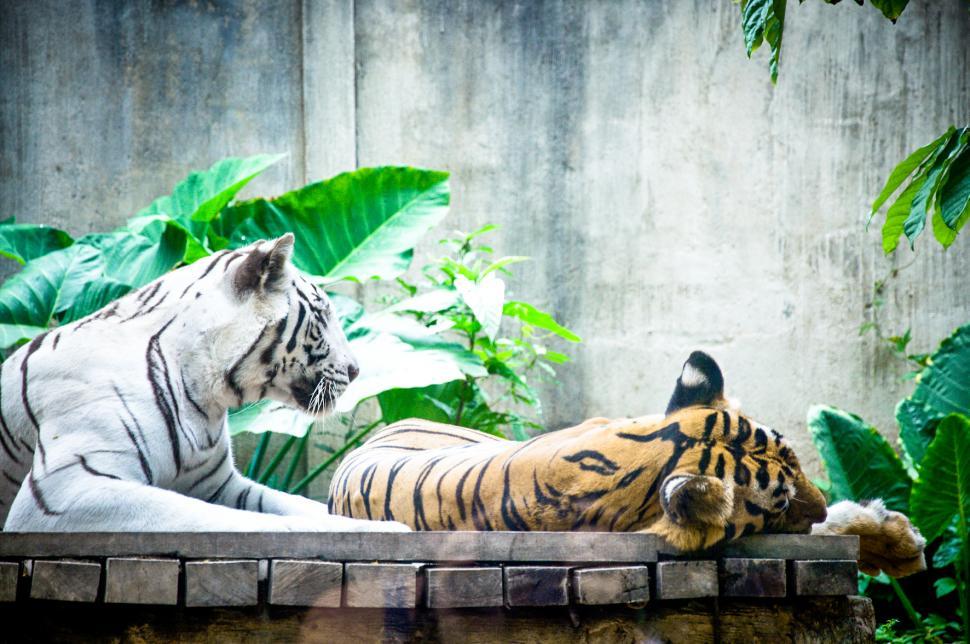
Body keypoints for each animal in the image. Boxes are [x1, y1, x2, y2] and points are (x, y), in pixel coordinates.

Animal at [0, 233, 406, 532]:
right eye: (321, 316)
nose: (355, 370)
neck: (203, 395)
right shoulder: (64, 492)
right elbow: (243, 522)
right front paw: (385, 529)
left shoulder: (219, 484)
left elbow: (300, 504)